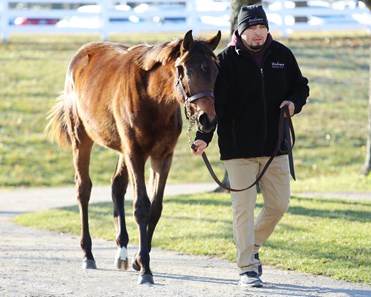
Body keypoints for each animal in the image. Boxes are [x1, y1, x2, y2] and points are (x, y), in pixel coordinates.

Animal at [46, 30, 221, 284]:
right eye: (187, 71)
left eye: (216, 71)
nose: (208, 120)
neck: (154, 99)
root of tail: (82, 54)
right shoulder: (135, 153)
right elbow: (141, 207)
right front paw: (146, 269)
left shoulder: (162, 157)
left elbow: (155, 208)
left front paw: (140, 259)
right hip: (82, 140)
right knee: (83, 189)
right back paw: (88, 254)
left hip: (121, 150)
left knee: (117, 186)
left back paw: (122, 251)